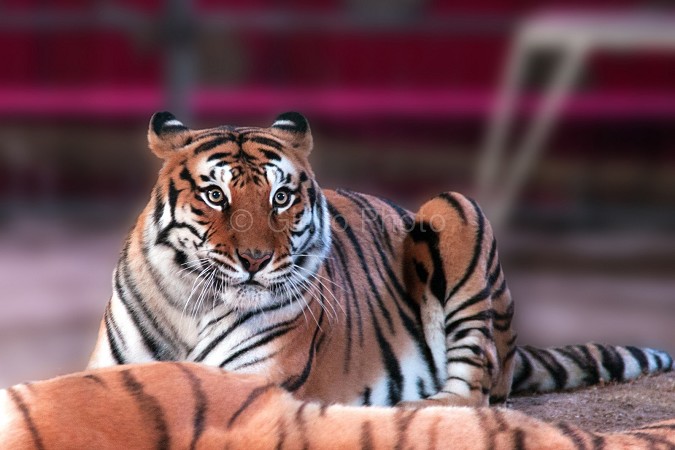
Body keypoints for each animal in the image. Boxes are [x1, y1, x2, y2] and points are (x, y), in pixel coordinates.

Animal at [87, 111, 673, 408]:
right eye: (215, 196)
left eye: (281, 197)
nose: (256, 261)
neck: (192, 303)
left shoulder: (255, 379)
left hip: (455, 210)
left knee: (472, 389)